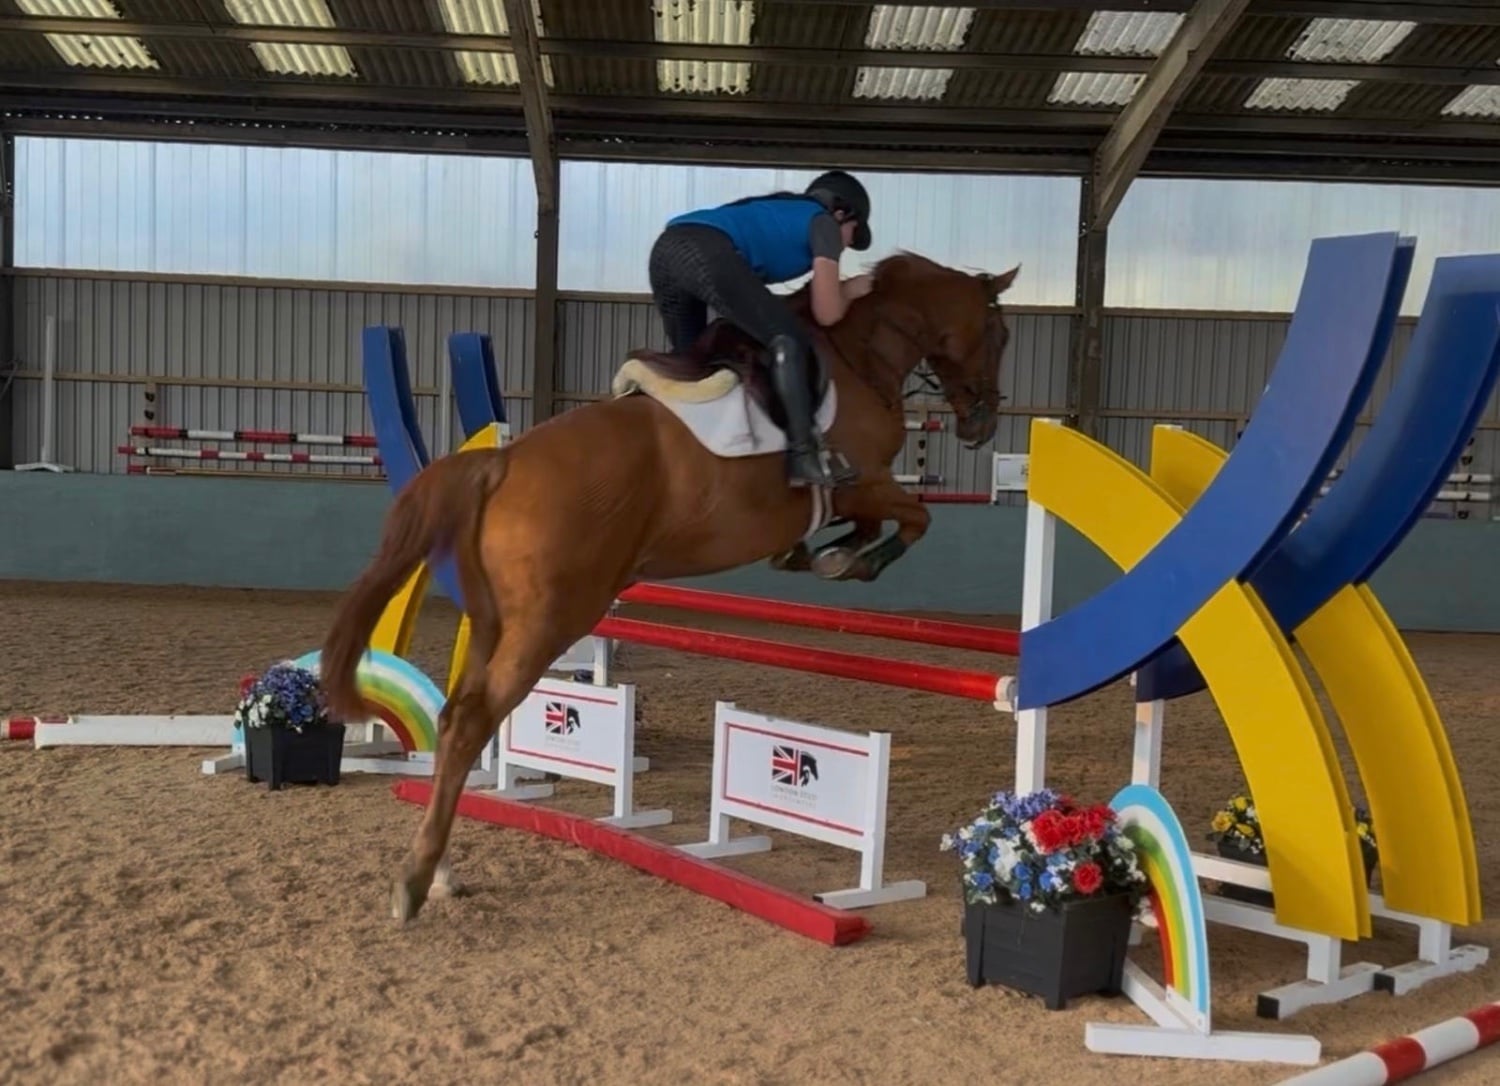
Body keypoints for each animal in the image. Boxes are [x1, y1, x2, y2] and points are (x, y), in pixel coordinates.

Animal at [319, 250, 1019, 922]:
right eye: (1000, 333)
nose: (983, 424)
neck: (858, 353)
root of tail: (502, 461)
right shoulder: (864, 479)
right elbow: (916, 517)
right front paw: (850, 560)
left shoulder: (861, 491)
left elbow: (881, 522)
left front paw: (826, 552)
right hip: (550, 620)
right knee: (470, 719)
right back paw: (415, 879)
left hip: (497, 621)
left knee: (454, 716)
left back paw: (439, 867)